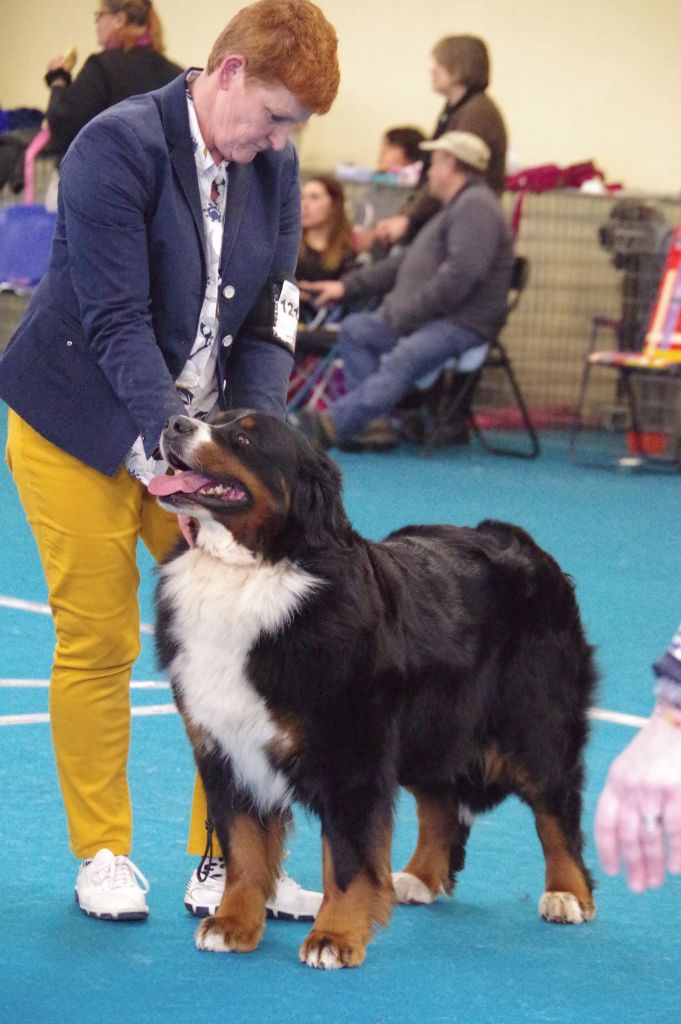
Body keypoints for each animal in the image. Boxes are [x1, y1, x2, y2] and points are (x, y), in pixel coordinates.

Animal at [148, 409, 593, 966]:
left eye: (244, 438)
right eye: (209, 417)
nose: (175, 422)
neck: (252, 569)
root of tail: (521, 540)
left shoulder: (351, 754)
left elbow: (347, 860)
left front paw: (335, 938)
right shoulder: (226, 747)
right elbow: (245, 849)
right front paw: (233, 925)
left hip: (533, 722)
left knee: (557, 806)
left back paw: (568, 893)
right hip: (434, 725)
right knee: (441, 800)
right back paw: (419, 878)